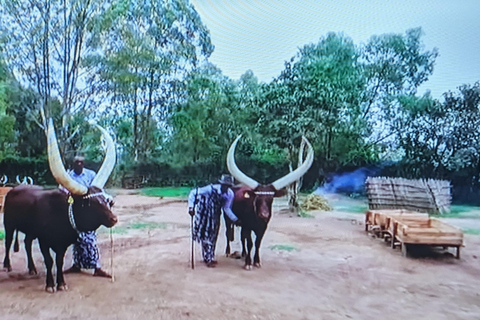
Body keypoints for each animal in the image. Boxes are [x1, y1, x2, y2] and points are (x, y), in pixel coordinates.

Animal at [2, 119, 117, 292]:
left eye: (105, 199)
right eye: (90, 203)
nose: (114, 219)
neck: (61, 215)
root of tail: (14, 189)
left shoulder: (62, 244)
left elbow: (59, 261)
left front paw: (61, 283)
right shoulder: (43, 241)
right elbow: (49, 261)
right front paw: (50, 285)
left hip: (30, 231)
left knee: (27, 244)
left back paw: (32, 268)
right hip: (9, 224)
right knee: (8, 242)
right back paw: (7, 265)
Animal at [225, 136, 316, 270]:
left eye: (271, 199)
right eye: (257, 198)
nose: (264, 215)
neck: (257, 219)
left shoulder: (263, 227)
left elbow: (257, 243)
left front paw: (256, 261)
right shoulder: (247, 226)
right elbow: (250, 243)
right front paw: (248, 263)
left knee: (242, 238)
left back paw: (243, 254)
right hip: (227, 218)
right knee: (228, 234)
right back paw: (228, 252)